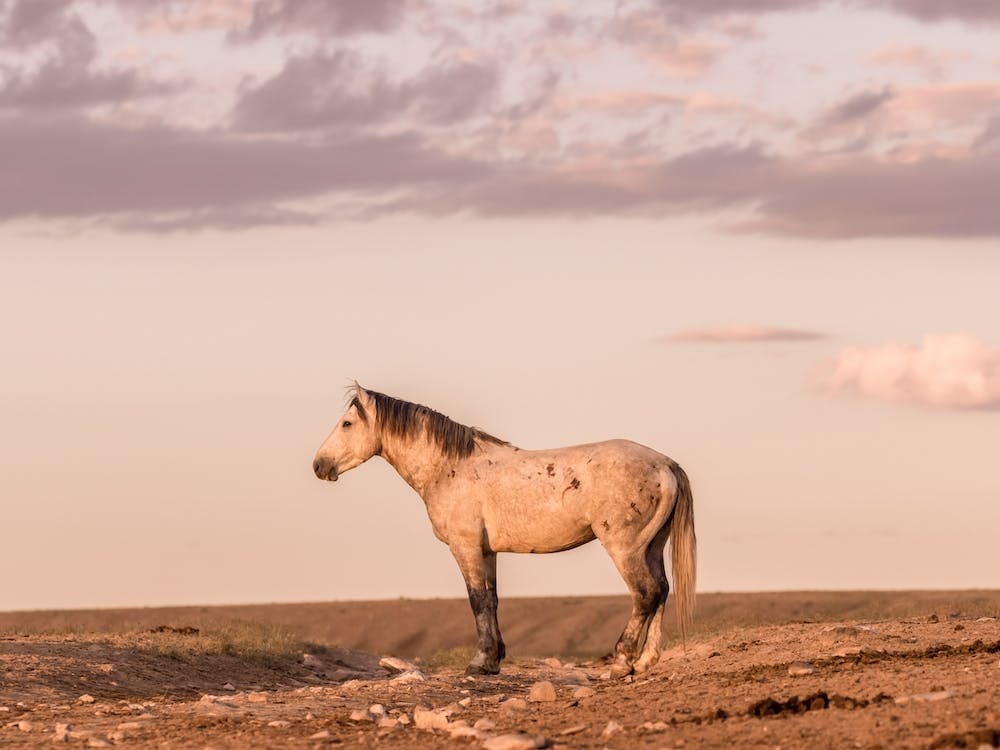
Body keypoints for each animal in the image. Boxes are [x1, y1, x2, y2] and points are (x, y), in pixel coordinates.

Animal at [312, 384, 696, 677]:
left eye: (347, 423)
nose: (319, 465)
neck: (449, 468)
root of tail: (664, 464)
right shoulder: (487, 551)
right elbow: (492, 600)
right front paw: (494, 660)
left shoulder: (465, 547)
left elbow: (477, 601)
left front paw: (479, 662)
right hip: (650, 546)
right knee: (662, 590)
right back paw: (646, 661)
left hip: (624, 547)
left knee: (645, 594)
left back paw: (621, 661)